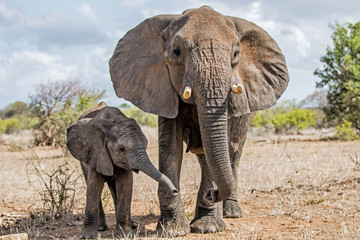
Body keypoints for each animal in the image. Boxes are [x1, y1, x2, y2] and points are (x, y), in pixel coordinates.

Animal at [67, 102, 178, 239]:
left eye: (146, 146)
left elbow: (125, 185)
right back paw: (101, 227)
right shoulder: (96, 152)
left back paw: (132, 225)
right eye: (121, 149)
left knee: (114, 189)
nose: (175, 191)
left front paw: (125, 235)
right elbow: (94, 186)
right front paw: (87, 237)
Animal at [108, 5, 288, 236]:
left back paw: (230, 212)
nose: (212, 193)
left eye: (236, 53)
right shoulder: (163, 91)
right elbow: (170, 146)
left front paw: (207, 227)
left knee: (233, 151)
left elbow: (222, 144)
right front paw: (172, 230)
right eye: (176, 51)